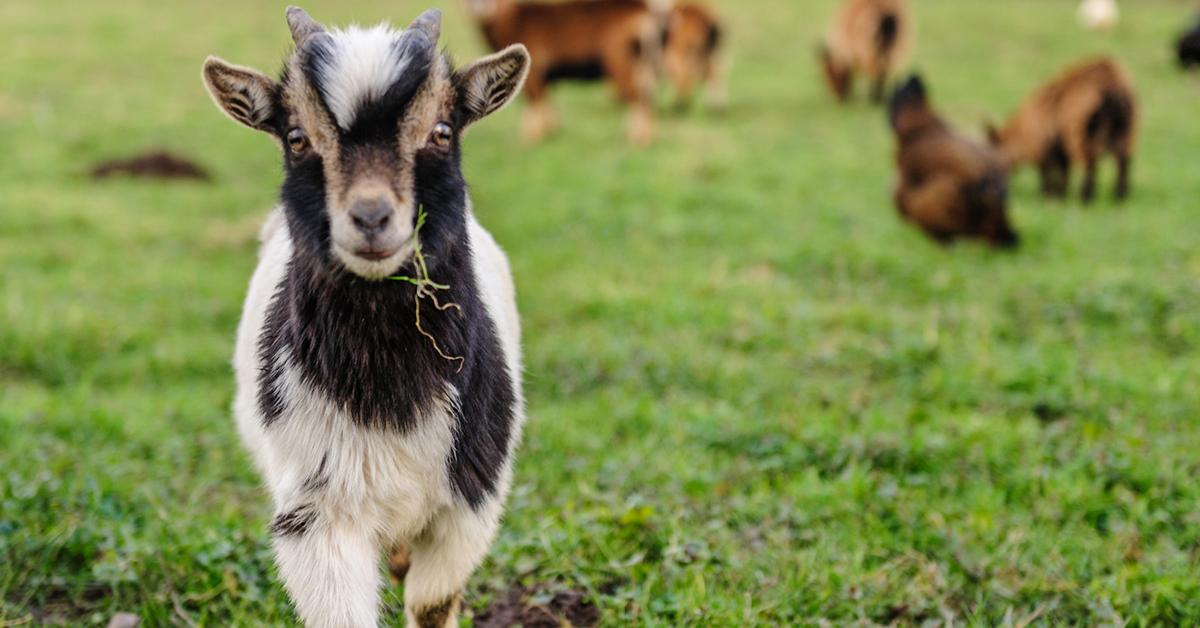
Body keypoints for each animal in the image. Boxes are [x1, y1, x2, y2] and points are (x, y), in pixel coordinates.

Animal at [202, 6, 530, 628]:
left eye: (442, 132)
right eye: (297, 138)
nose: (372, 216)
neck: (388, 393)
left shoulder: (470, 501)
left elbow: (432, 602)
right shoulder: (317, 509)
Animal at [463, 0, 662, 143]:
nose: (481, 7)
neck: (515, 20)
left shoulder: (535, 71)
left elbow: (534, 102)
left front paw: (531, 139)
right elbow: (545, 103)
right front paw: (551, 132)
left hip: (620, 61)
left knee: (637, 97)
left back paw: (637, 140)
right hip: (642, 64)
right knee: (645, 96)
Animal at [984, 57, 1132, 204]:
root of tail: (1110, 82)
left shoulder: (1043, 145)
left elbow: (1047, 171)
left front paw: (1048, 195)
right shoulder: (1058, 147)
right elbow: (1064, 170)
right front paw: (1061, 194)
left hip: (1083, 130)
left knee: (1090, 160)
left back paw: (1086, 197)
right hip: (1125, 124)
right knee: (1122, 158)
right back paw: (1120, 196)